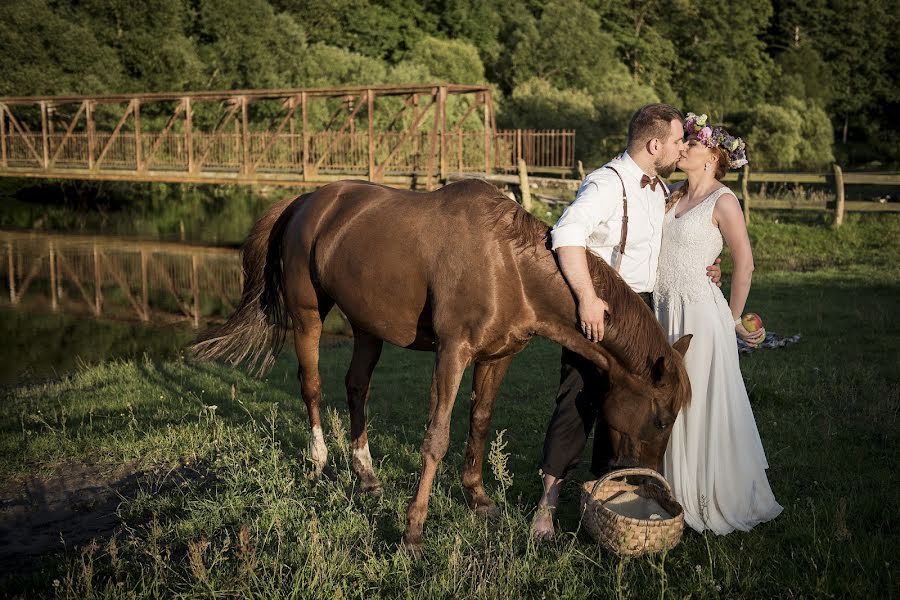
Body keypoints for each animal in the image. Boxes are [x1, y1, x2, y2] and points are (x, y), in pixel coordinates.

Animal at [193, 179, 692, 556]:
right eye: (661, 418)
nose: (645, 482)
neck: (508, 267)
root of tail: (304, 201)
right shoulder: (452, 353)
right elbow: (436, 438)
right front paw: (413, 531)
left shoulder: (497, 357)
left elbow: (480, 422)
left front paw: (478, 497)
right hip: (308, 316)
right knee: (312, 386)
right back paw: (319, 463)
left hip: (367, 327)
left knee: (356, 388)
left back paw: (366, 475)